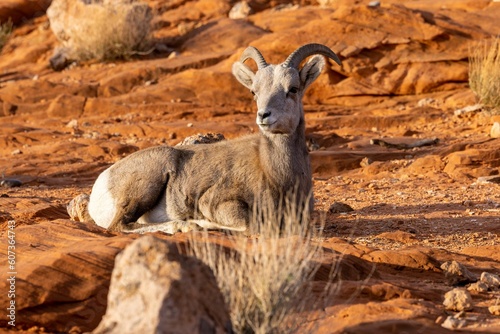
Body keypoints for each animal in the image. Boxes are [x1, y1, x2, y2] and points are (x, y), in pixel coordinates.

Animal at [88, 43, 342, 232]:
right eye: (254, 92)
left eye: (293, 89)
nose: (264, 116)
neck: (277, 175)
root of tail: (101, 186)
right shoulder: (216, 203)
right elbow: (248, 225)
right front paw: (199, 222)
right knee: (120, 226)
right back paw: (185, 226)